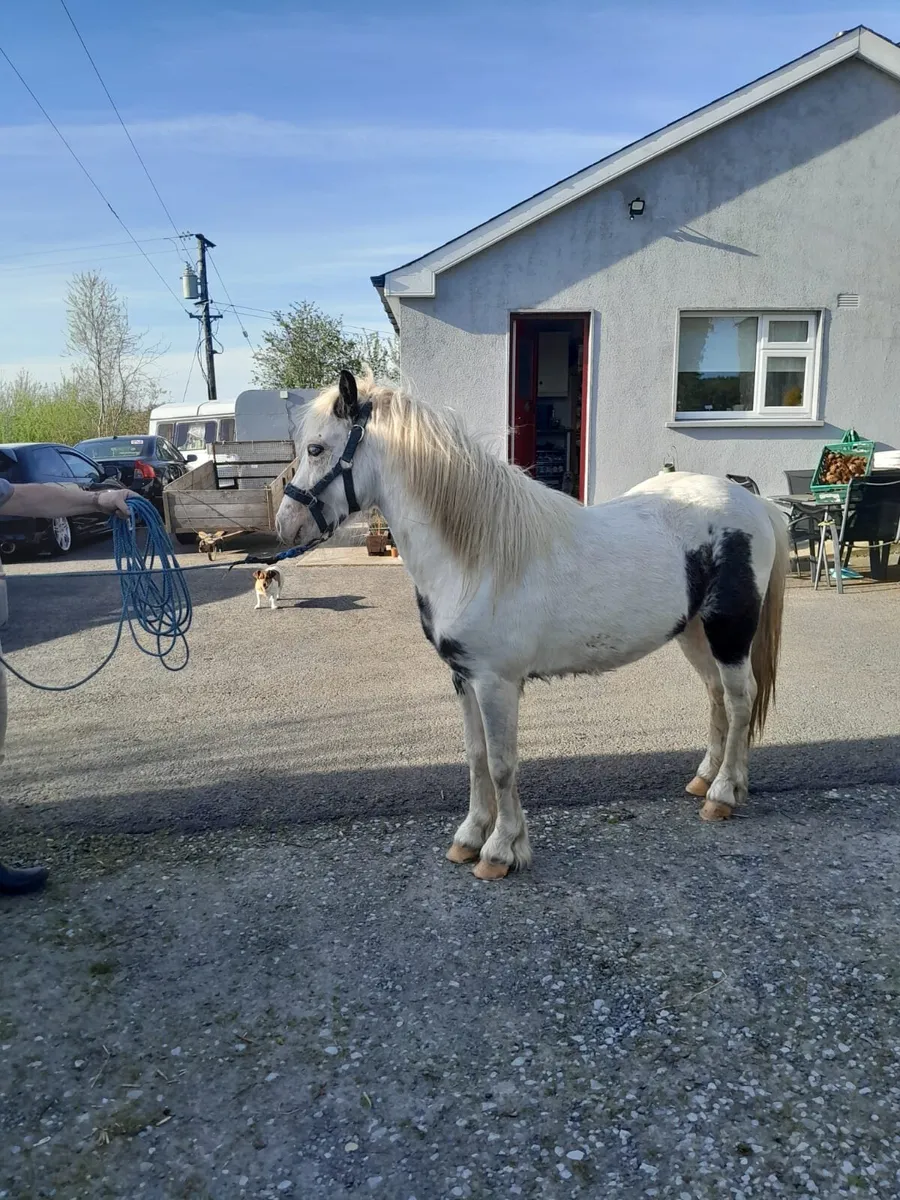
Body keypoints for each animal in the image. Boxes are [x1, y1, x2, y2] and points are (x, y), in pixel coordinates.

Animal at [276, 370, 789, 881]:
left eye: (316, 448)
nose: (286, 526)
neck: (475, 559)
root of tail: (753, 503)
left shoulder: (496, 682)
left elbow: (502, 764)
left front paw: (501, 850)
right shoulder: (463, 678)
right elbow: (476, 756)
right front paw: (469, 837)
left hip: (729, 632)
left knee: (740, 700)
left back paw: (723, 796)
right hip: (695, 632)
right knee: (717, 696)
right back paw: (706, 781)